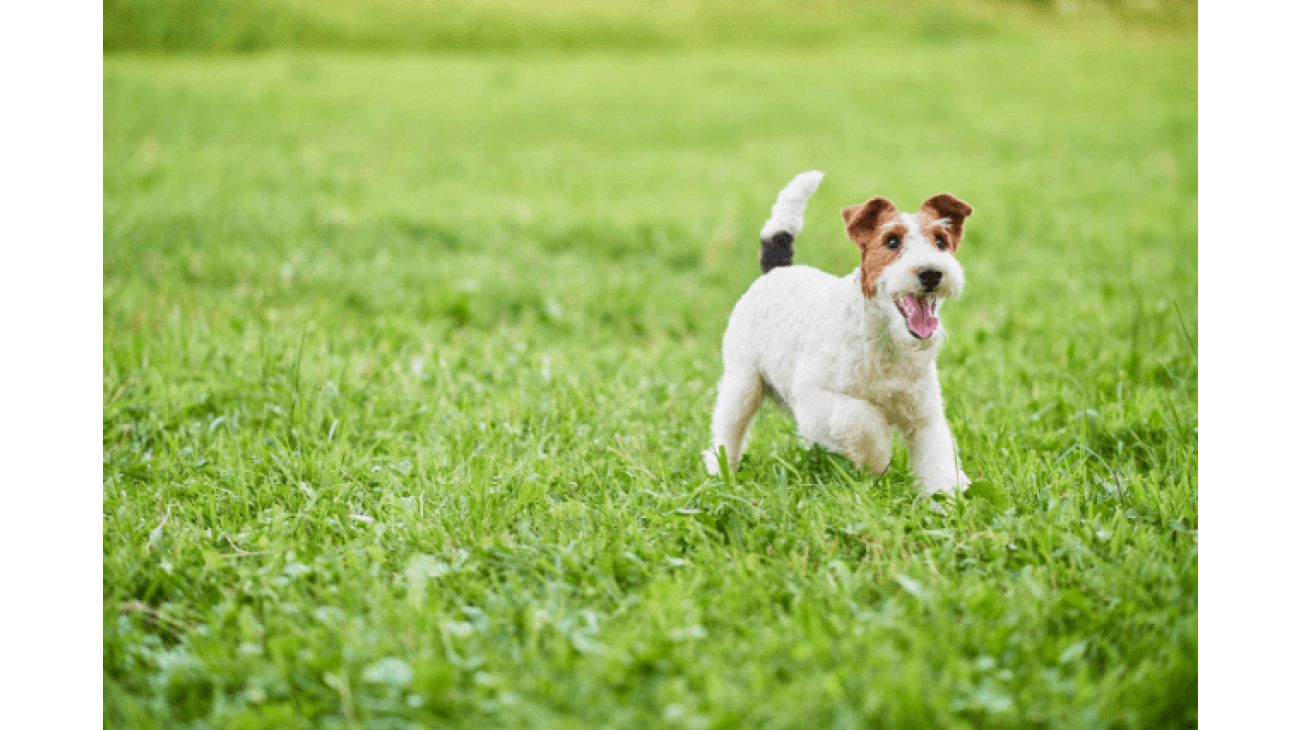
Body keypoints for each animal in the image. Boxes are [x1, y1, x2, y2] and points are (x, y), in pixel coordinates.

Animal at [702, 171, 977, 493]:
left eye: (940, 241)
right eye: (892, 241)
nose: (931, 272)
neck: (886, 343)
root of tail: (776, 269)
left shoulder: (924, 415)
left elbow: (938, 459)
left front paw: (946, 498)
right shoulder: (814, 397)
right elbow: (858, 418)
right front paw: (877, 459)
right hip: (742, 383)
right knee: (727, 434)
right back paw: (721, 474)